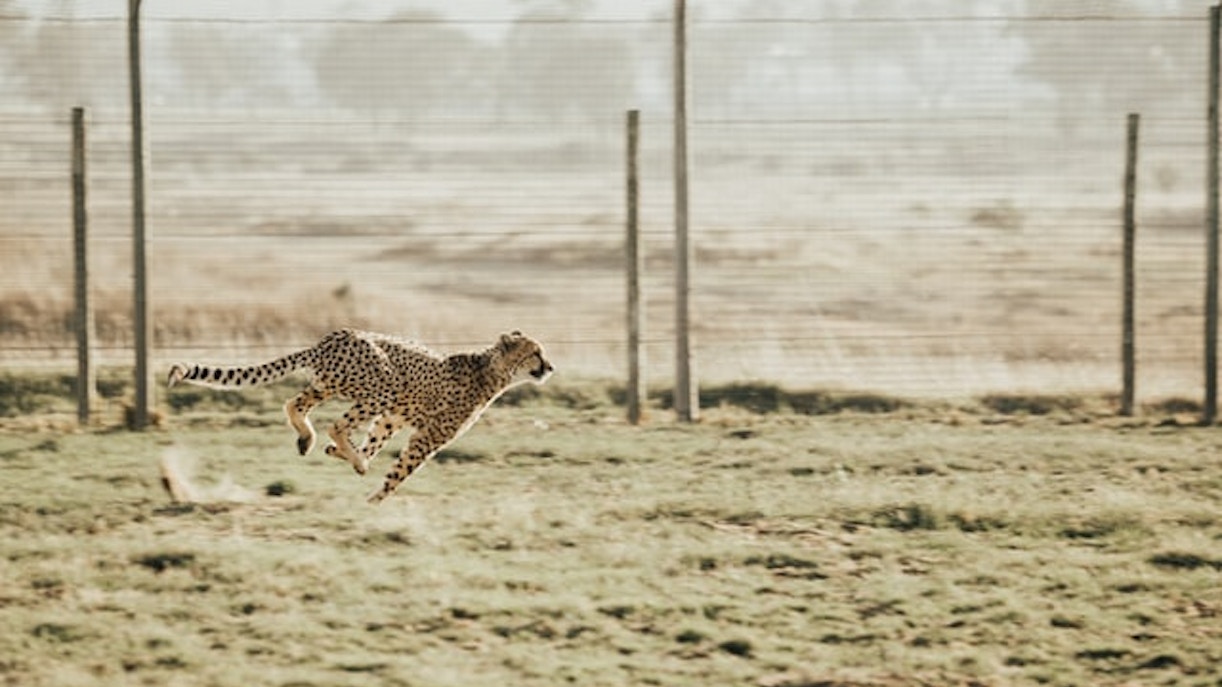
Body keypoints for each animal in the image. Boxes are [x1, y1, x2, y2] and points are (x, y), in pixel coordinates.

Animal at [166, 328, 553, 503]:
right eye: (535, 353)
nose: (549, 367)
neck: (491, 369)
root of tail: (330, 338)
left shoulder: (394, 417)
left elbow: (375, 441)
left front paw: (348, 457)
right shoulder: (427, 435)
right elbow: (400, 470)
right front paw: (374, 498)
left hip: (331, 385)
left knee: (295, 404)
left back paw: (310, 440)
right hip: (382, 384)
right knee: (336, 423)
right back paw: (346, 454)